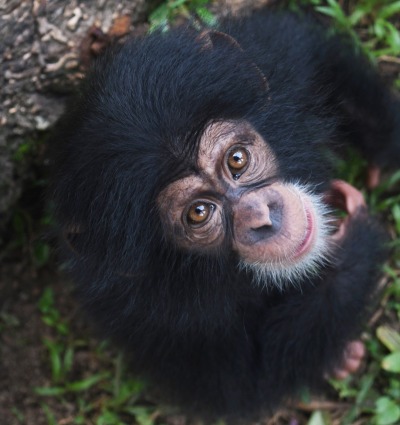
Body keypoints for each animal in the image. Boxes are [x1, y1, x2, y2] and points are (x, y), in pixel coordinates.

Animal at [51, 7, 398, 420]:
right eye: (199, 213)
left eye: (237, 160)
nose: (261, 216)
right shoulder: (157, 318)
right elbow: (247, 379)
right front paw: (353, 240)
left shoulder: (278, 58)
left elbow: (321, 57)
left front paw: (384, 152)